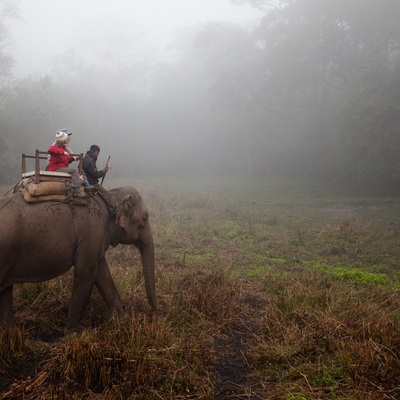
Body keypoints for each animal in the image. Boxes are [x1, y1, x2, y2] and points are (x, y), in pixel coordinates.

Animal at [0, 186, 156, 336]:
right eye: (144, 219)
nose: (154, 315)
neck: (110, 198)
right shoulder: (92, 232)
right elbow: (86, 273)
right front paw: (75, 333)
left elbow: (102, 274)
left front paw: (125, 321)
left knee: (6, 289)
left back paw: (10, 332)